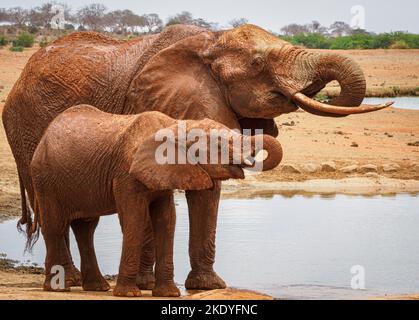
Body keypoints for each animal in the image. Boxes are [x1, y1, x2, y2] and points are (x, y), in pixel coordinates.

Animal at [31, 105, 284, 298]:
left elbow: (166, 220)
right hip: (44, 179)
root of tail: (44, 135)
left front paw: (168, 293)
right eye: (219, 145)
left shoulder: (163, 172)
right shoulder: (126, 174)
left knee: (86, 227)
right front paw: (129, 294)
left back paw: (98, 287)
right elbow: (135, 219)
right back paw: (58, 288)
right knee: (55, 226)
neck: (176, 124)